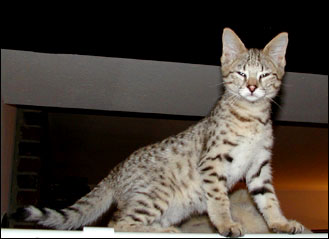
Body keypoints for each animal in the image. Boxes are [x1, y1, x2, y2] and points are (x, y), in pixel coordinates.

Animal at [16, 28, 304, 237]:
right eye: (241, 73)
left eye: (265, 75)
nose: (252, 87)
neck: (251, 116)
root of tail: (113, 172)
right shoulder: (212, 162)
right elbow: (219, 199)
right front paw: (226, 224)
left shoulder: (259, 166)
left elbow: (269, 200)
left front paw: (281, 223)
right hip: (157, 195)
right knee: (117, 222)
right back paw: (162, 230)